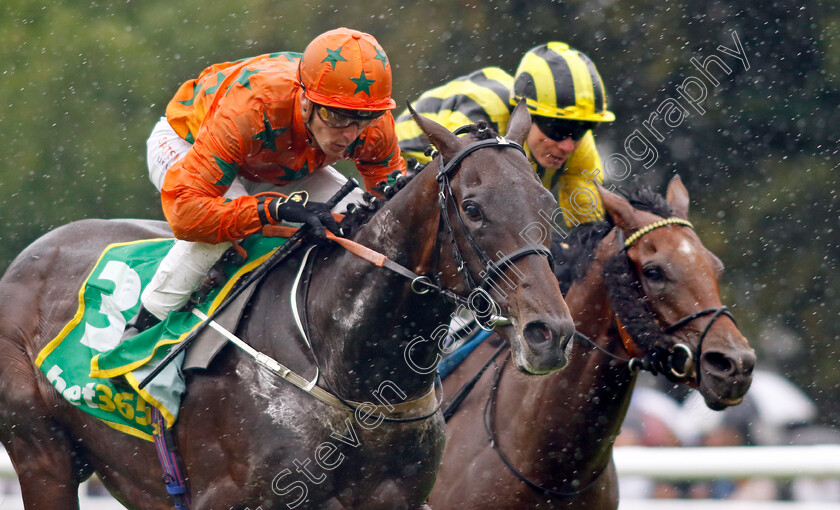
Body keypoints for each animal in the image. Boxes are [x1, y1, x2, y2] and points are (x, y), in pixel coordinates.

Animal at [0, 104, 576, 510]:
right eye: (473, 208)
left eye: (547, 205)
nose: (549, 333)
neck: (349, 367)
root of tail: (26, 259)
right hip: (42, 455)